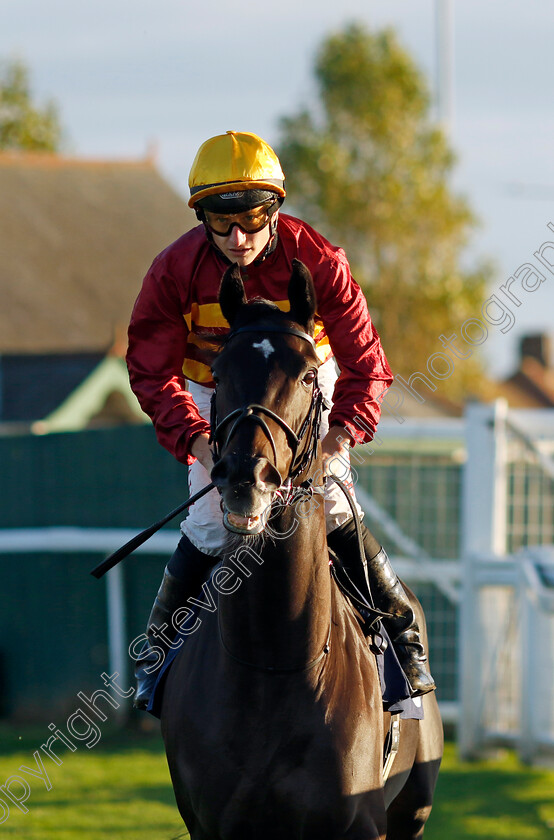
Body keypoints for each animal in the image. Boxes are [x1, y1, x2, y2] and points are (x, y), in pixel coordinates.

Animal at [158, 260, 440, 836]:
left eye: (308, 374)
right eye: (218, 372)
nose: (247, 477)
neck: (274, 663)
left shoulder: (364, 822)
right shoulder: (211, 824)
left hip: (415, 808)